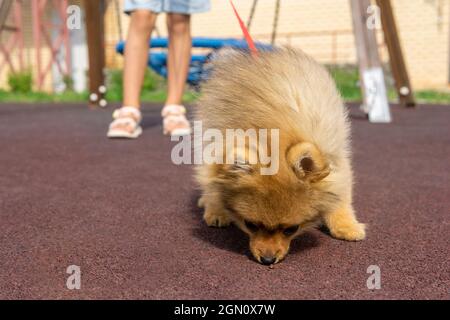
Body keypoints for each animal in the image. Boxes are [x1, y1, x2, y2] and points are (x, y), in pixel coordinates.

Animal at [195, 45, 364, 264]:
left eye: (292, 229)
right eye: (250, 225)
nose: (267, 260)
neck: (275, 137)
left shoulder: (336, 156)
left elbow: (341, 194)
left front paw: (346, 225)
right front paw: (216, 207)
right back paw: (213, 207)